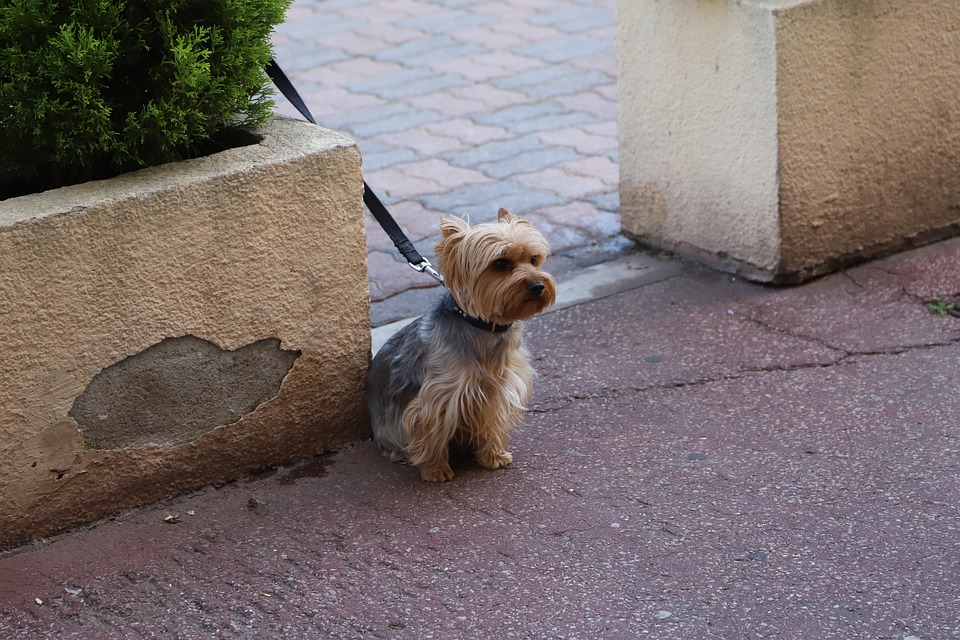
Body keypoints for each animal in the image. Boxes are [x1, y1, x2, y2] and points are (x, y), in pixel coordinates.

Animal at [370, 208, 564, 482]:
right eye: (500, 264)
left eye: (534, 259)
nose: (538, 285)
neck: (482, 325)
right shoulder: (440, 396)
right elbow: (430, 429)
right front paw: (435, 469)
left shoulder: (495, 391)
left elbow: (492, 421)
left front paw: (493, 455)